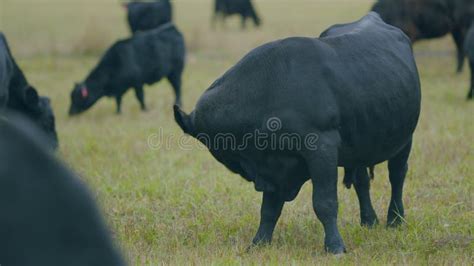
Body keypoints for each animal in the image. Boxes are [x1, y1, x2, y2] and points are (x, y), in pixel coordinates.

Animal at [175, 12, 422, 254]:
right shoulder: (273, 171)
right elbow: (269, 209)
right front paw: (259, 242)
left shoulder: (322, 149)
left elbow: (324, 202)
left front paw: (334, 245)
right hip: (360, 147)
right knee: (362, 182)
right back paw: (369, 221)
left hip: (405, 141)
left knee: (397, 175)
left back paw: (395, 219)